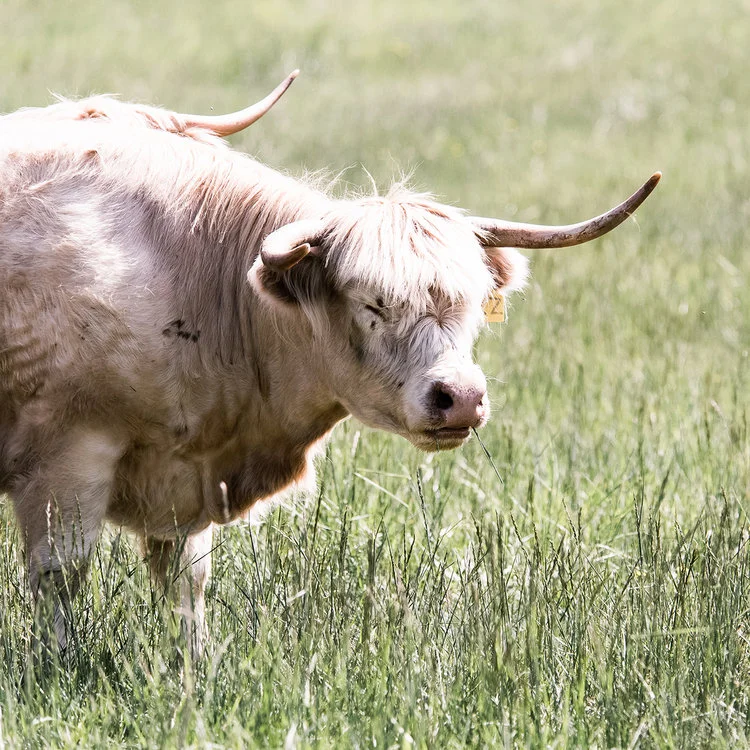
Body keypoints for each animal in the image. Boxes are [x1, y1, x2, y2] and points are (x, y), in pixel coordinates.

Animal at [0, 71, 660, 657]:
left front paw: (194, 668)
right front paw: (58, 666)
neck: (182, 272)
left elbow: (186, 584)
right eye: (372, 303)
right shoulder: (70, 456)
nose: (461, 397)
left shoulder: (184, 478)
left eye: (473, 303)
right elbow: (60, 576)